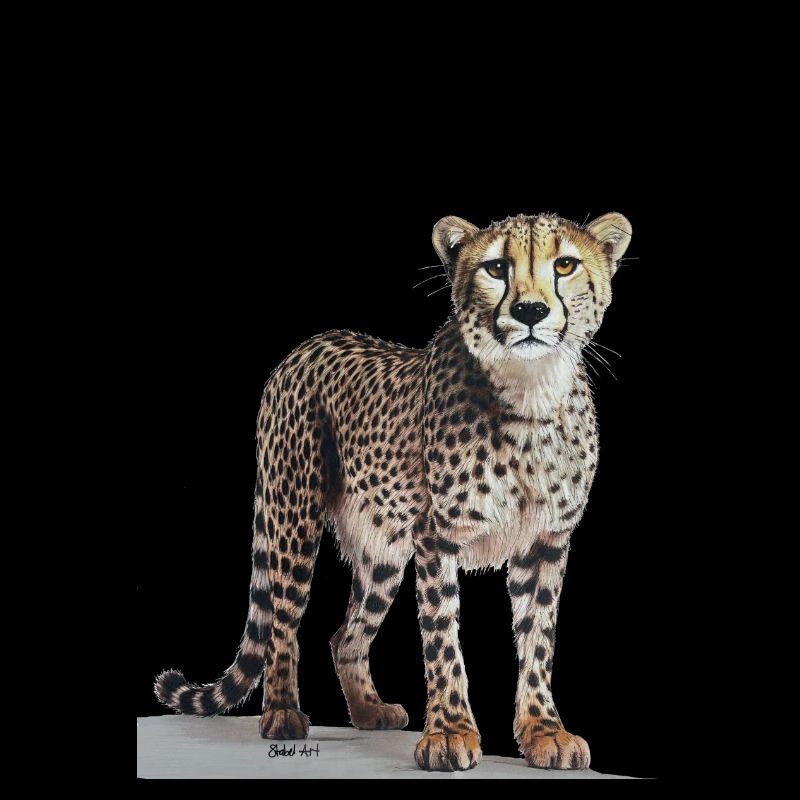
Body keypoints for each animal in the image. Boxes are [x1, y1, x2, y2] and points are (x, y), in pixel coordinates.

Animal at [154, 211, 632, 772]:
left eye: (565, 265)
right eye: (496, 267)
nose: (530, 310)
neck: (529, 393)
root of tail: (309, 344)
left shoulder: (546, 542)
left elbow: (539, 640)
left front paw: (544, 731)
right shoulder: (437, 537)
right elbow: (444, 639)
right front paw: (449, 734)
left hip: (381, 549)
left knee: (345, 635)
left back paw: (367, 710)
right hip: (293, 515)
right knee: (282, 621)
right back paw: (281, 713)